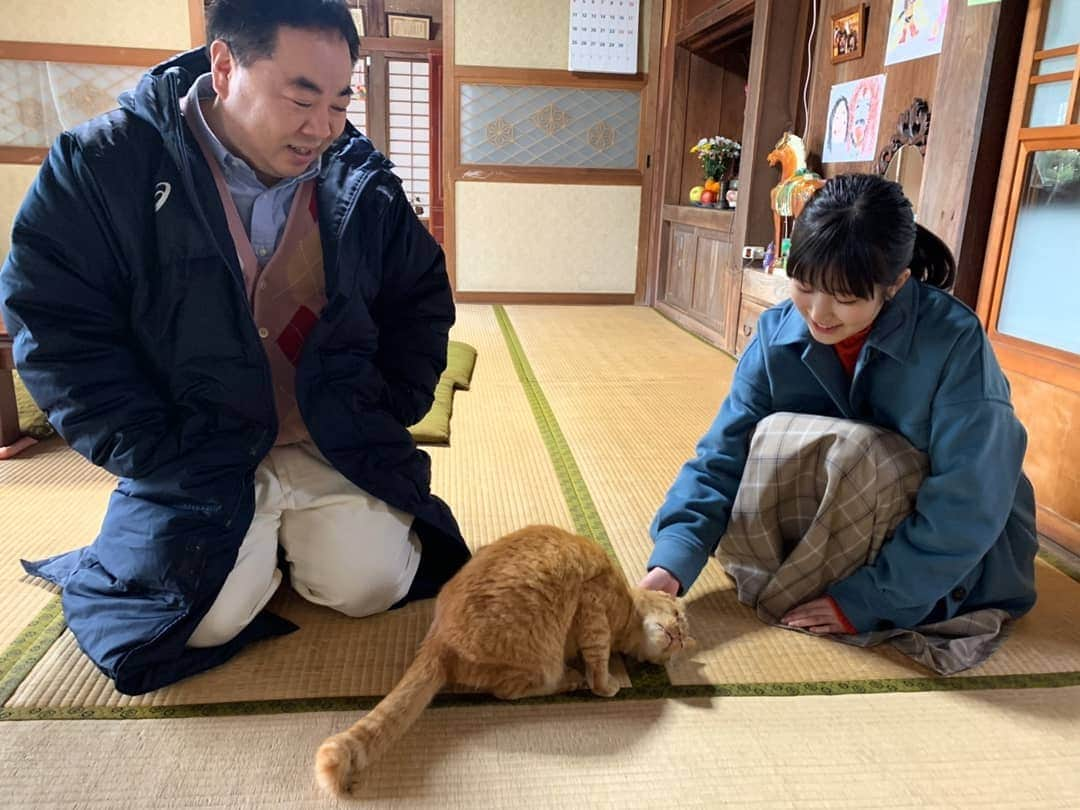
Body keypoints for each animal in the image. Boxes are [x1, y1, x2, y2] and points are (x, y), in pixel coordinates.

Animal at [315, 527, 695, 799]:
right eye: (678, 618)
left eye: (680, 635)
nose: (678, 637)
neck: (627, 611)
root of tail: (437, 639)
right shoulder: (594, 609)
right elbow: (599, 665)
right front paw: (606, 684)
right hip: (541, 661)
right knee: (510, 692)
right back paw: (571, 679)